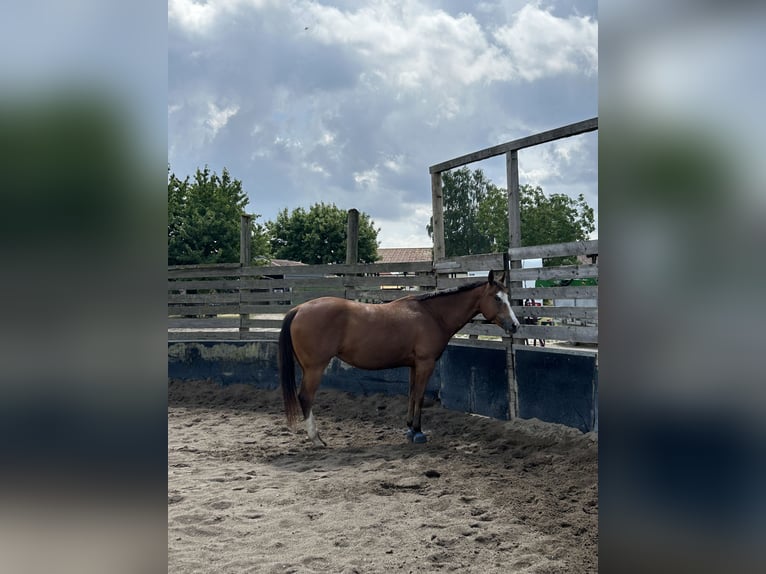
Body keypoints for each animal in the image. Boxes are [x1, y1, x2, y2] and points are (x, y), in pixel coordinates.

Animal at [279, 270, 520, 446]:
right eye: (497, 298)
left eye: (507, 297)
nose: (515, 325)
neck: (432, 314)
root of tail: (299, 309)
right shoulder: (425, 364)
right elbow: (420, 396)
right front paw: (419, 432)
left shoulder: (413, 365)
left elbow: (412, 395)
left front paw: (410, 429)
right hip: (315, 368)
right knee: (306, 398)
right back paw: (317, 439)